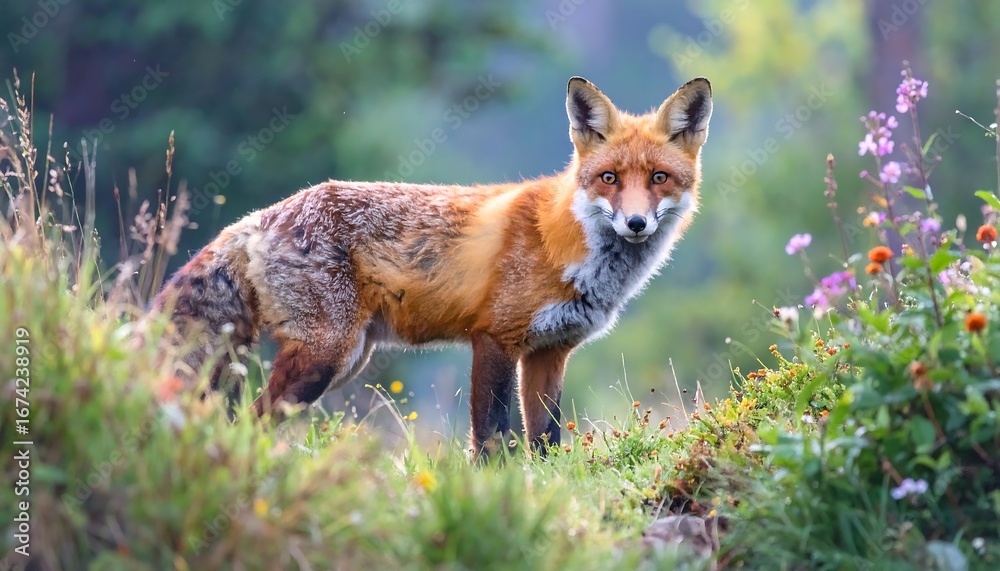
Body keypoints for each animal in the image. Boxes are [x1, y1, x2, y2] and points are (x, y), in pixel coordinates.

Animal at [153, 76, 712, 457]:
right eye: (609, 178)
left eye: (660, 178)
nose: (636, 223)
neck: (563, 244)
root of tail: (264, 215)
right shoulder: (494, 339)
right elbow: (490, 439)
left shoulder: (549, 353)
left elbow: (546, 443)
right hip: (325, 358)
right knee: (246, 422)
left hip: (346, 358)